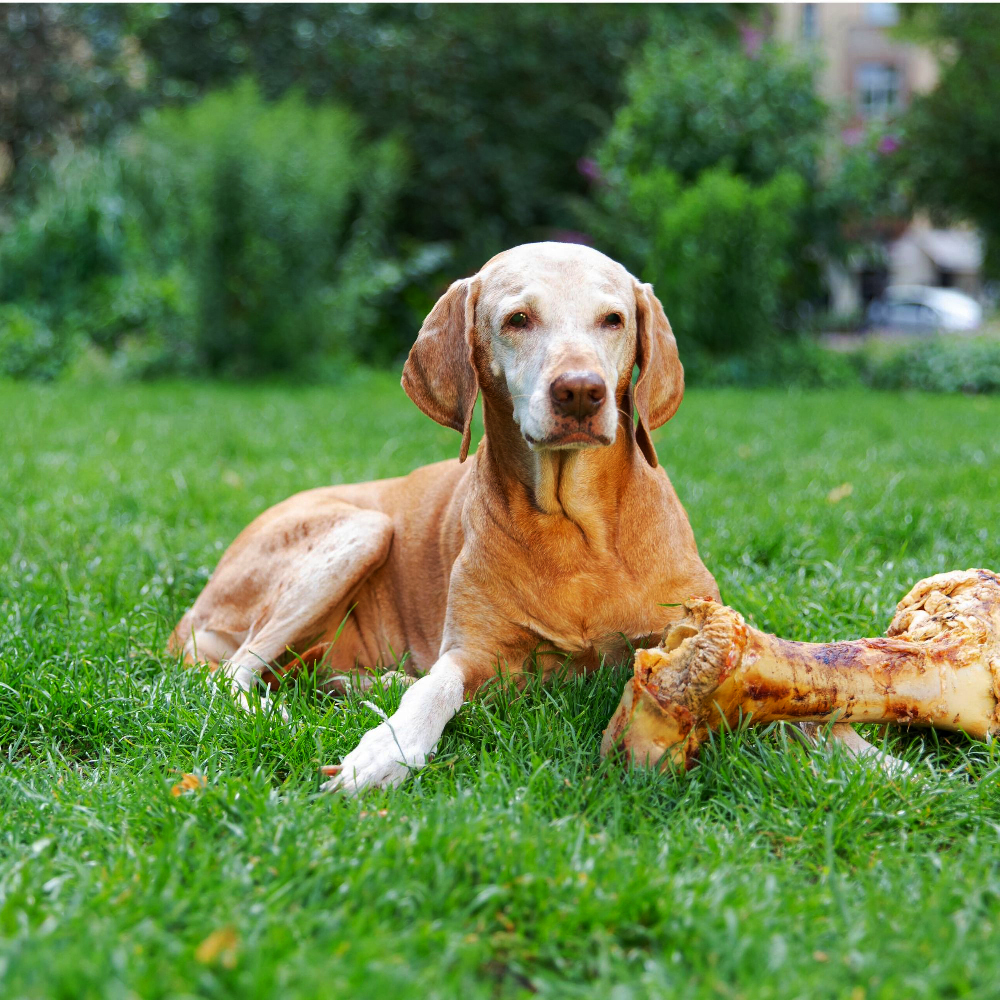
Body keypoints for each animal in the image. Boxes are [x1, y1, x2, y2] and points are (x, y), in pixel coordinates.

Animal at [170, 242, 900, 788]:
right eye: (517, 319)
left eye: (613, 320)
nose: (580, 392)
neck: (576, 532)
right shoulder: (472, 653)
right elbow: (436, 689)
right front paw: (388, 748)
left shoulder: (701, 637)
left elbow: (799, 700)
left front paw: (880, 762)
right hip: (360, 529)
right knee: (232, 675)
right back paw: (286, 716)